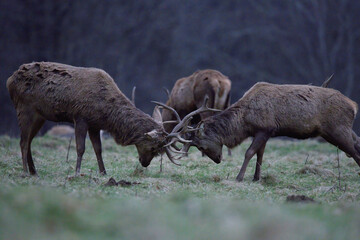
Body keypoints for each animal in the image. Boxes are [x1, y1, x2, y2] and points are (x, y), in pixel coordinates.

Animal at [184, 82, 360, 182]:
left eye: (201, 147)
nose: (218, 160)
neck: (244, 122)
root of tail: (353, 106)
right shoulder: (263, 132)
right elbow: (260, 154)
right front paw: (256, 178)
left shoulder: (265, 128)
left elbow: (249, 152)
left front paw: (239, 177)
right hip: (337, 131)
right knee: (357, 144)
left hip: (337, 129)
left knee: (353, 151)